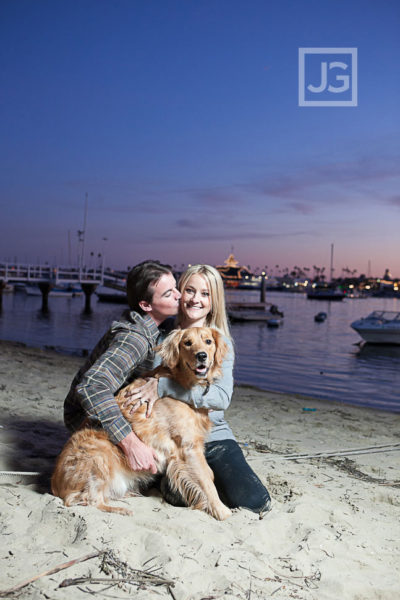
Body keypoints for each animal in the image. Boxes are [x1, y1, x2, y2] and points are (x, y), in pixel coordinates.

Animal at [52, 328, 233, 520]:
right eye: (187, 343)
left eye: (208, 341)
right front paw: (221, 511)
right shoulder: (188, 448)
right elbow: (207, 481)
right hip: (100, 454)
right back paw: (121, 509)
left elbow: (209, 475)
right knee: (88, 500)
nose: (201, 356)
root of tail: (54, 483)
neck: (183, 381)